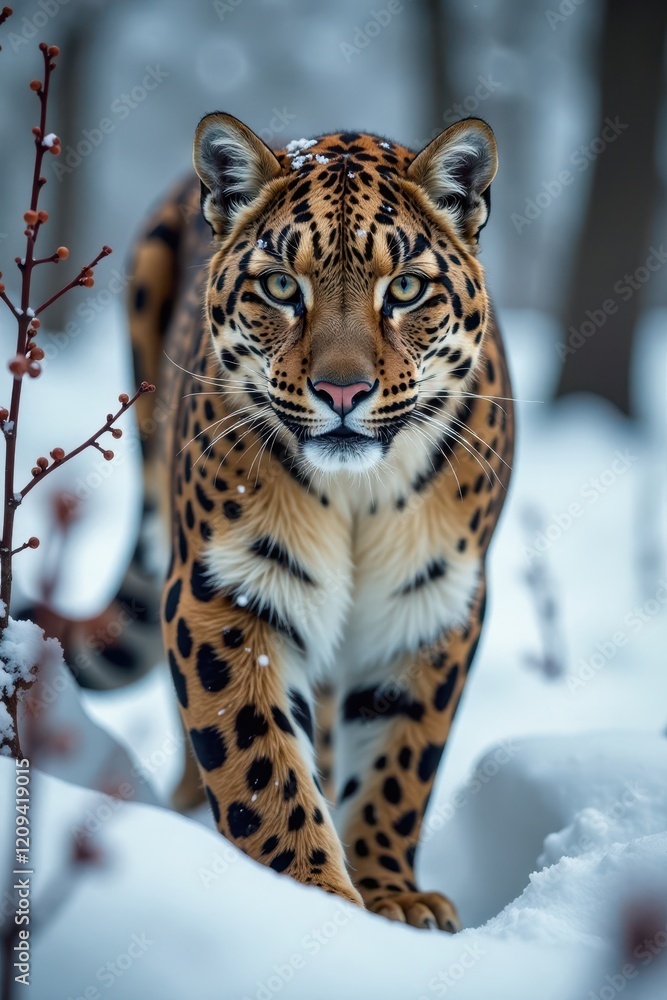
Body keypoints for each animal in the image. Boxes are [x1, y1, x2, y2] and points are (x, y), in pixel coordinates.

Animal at [53, 113, 515, 931]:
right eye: (280, 286)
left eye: (404, 289)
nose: (343, 390)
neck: (360, 496)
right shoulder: (227, 592)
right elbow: (259, 764)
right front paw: (315, 897)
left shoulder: (431, 605)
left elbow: (400, 763)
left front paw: (392, 897)